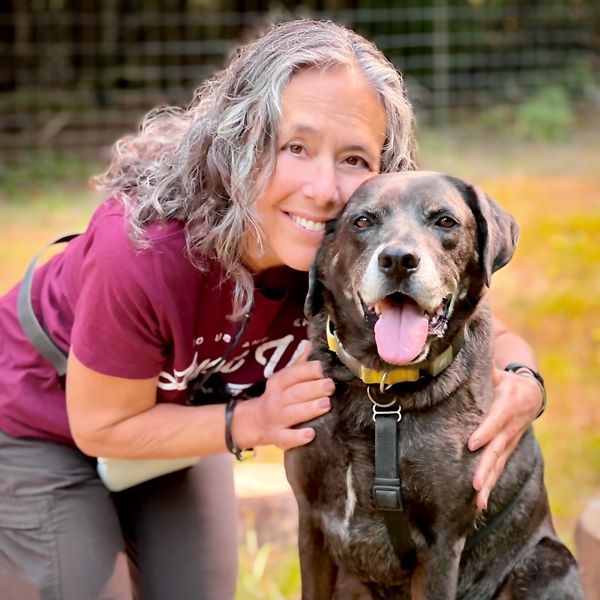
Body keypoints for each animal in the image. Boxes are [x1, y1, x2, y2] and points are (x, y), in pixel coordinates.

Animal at [284, 172, 584, 600]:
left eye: (445, 221)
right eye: (362, 221)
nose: (398, 260)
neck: (383, 390)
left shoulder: (441, 544)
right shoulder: (312, 524)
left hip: (546, 563)